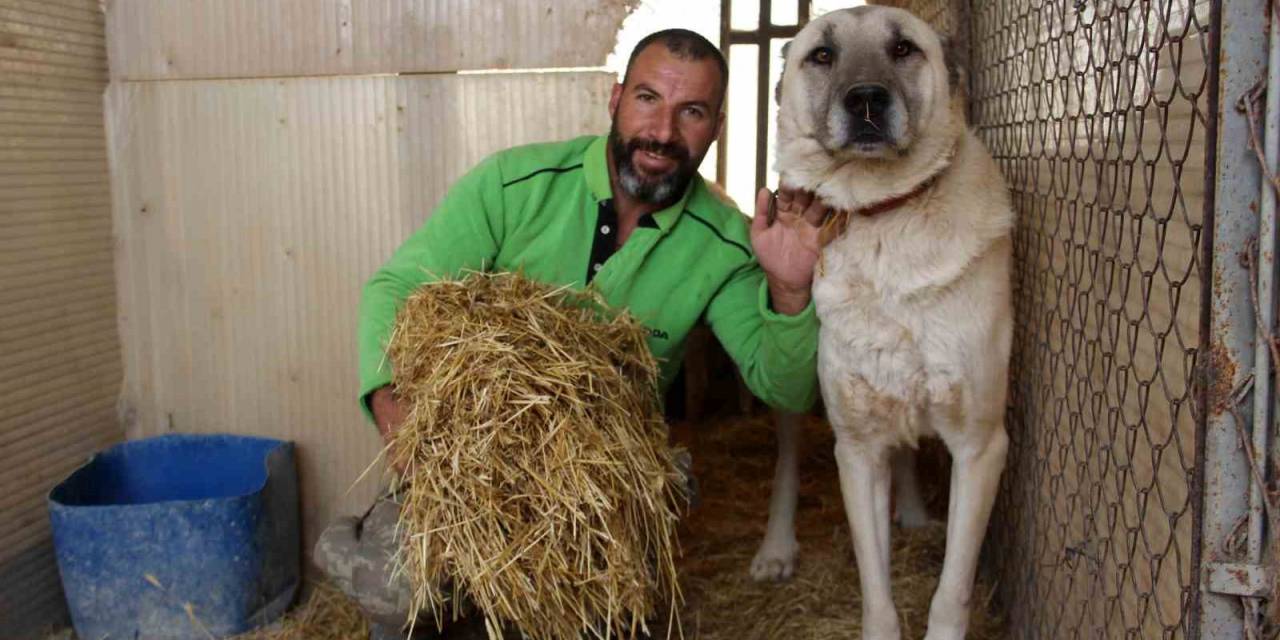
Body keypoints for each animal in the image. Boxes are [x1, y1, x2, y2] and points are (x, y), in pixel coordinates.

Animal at [762, 6, 1013, 640]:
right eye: (822, 56)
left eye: (903, 49)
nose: (867, 100)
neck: (884, 219)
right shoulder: (857, 449)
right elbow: (876, 591)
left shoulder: (980, 446)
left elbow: (951, 592)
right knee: (786, 458)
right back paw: (775, 547)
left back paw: (916, 513)